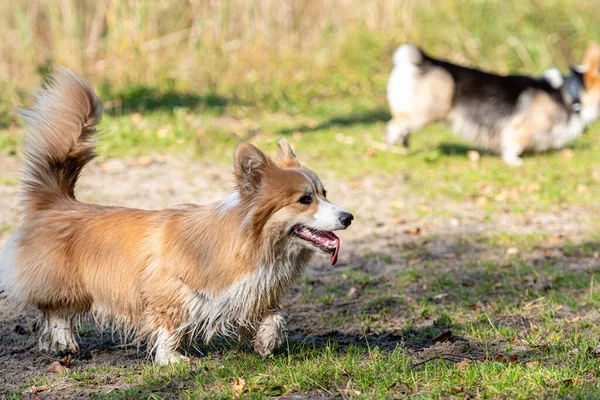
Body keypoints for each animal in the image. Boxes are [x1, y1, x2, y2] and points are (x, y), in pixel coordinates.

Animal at [0, 68, 354, 362]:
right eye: (305, 199)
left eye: (325, 193)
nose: (349, 217)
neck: (251, 242)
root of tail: (57, 201)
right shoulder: (169, 289)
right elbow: (171, 325)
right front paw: (171, 360)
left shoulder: (253, 293)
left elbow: (274, 316)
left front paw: (266, 342)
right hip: (63, 284)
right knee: (55, 310)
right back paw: (63, 342)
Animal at [384, 42, 600, 164]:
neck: (571, 93)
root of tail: (425, 61)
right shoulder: (519, 128)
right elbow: (514, 144)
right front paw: (514, 161)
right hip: (425, 112)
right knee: (393, 125)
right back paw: (388, 148)